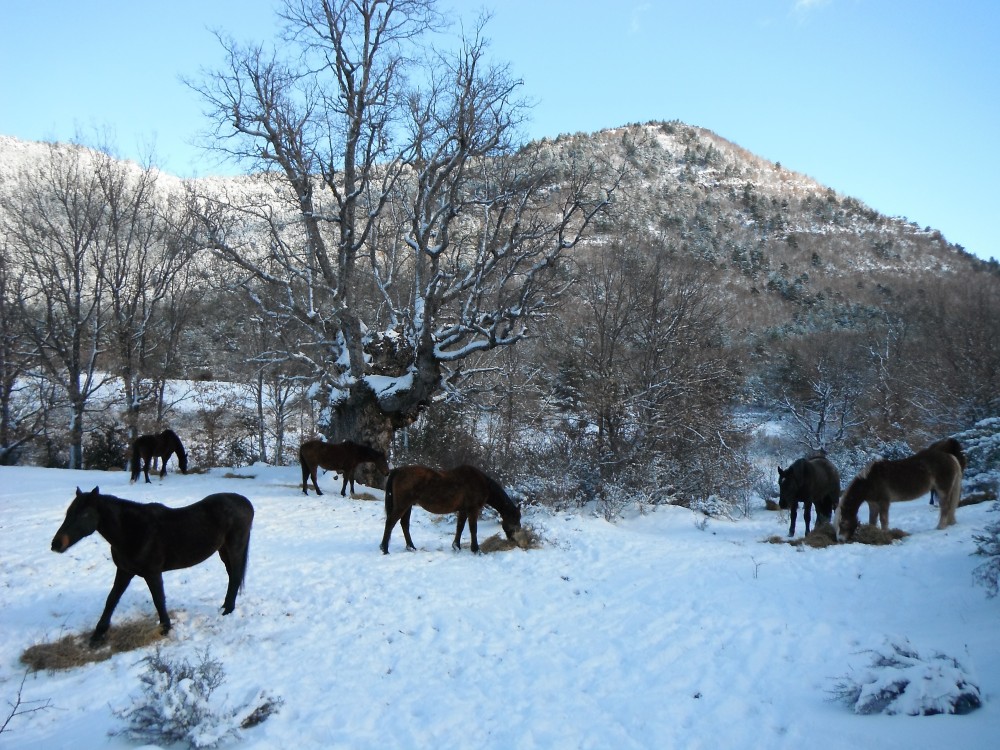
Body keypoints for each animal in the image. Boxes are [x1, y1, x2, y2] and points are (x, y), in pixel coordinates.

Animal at [50, 488, 254, 648]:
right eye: (68, 513)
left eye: (84, 515)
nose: (56, 544)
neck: (132, 531)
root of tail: (245, 503)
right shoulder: (124, 571)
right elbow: (112, 599)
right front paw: (97, 635)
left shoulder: (152, 573)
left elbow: (158, 599)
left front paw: (165, 628)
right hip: (223, 550)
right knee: (232, 577)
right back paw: (225, 607)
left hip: (234, 547)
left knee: (235, 576)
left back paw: (228, 610)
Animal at [380, 468, 524, 556]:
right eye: (515, 519)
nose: (514, 540)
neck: (480, 483)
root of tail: (398, 470)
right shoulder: (473, 509)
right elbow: (473, 529)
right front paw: (476, 549)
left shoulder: (463, 510)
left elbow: (460, 527)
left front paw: (456, 546)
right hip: (403, 505)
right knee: (390, 522)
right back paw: (385, 549)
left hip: (408, 506)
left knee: (404, 524)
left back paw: (411, 547)